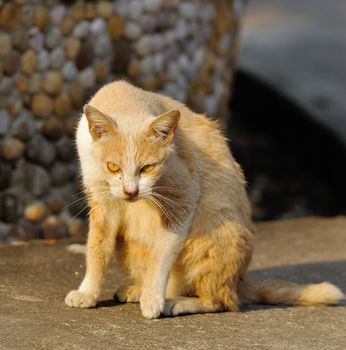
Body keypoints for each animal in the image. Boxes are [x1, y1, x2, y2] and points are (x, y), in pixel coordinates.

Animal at [65, 80, 344, 318]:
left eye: (148, 168)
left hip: (216, 237)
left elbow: (160, 257)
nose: (131, 192)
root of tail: (239, 282)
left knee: (220, 301)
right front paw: (88, 292)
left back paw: (174, 301)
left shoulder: (184, 198)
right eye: (113, 167)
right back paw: (138, 290)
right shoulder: (102, 203)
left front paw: (153, 299)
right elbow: (96, 251)